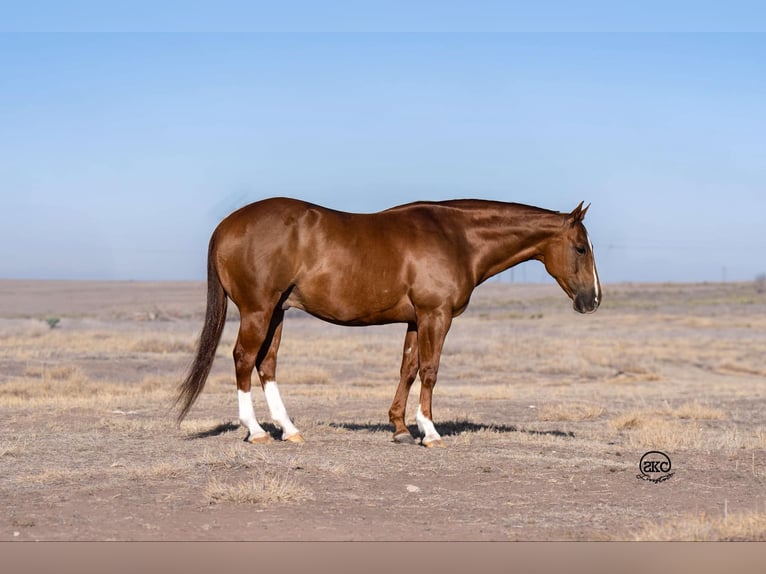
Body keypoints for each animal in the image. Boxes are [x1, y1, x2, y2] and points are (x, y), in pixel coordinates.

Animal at [177, 198, 604, 450]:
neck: (457, 238)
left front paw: (399, 427)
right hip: (258, 310)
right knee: (243, 359)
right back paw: (257, 431)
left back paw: (290, 429)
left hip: (277, 312)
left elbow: (408, 368)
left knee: (266, 365)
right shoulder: (435, 315)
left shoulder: (416, 320)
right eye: (581, 248)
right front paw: (429, 432)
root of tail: (227, 225)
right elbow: (430, 370)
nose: (593, 300)